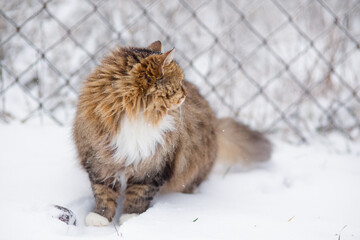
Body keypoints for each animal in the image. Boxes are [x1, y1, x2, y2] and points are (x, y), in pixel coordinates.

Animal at [72, 40, 270, 226]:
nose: (185, 93)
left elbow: (139, 195)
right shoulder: (98, 160)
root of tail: (214, 122)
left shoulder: (154, 165)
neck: (137, 116)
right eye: (179, 82)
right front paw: (99, 218)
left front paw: (131, 218)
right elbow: (103, 192)